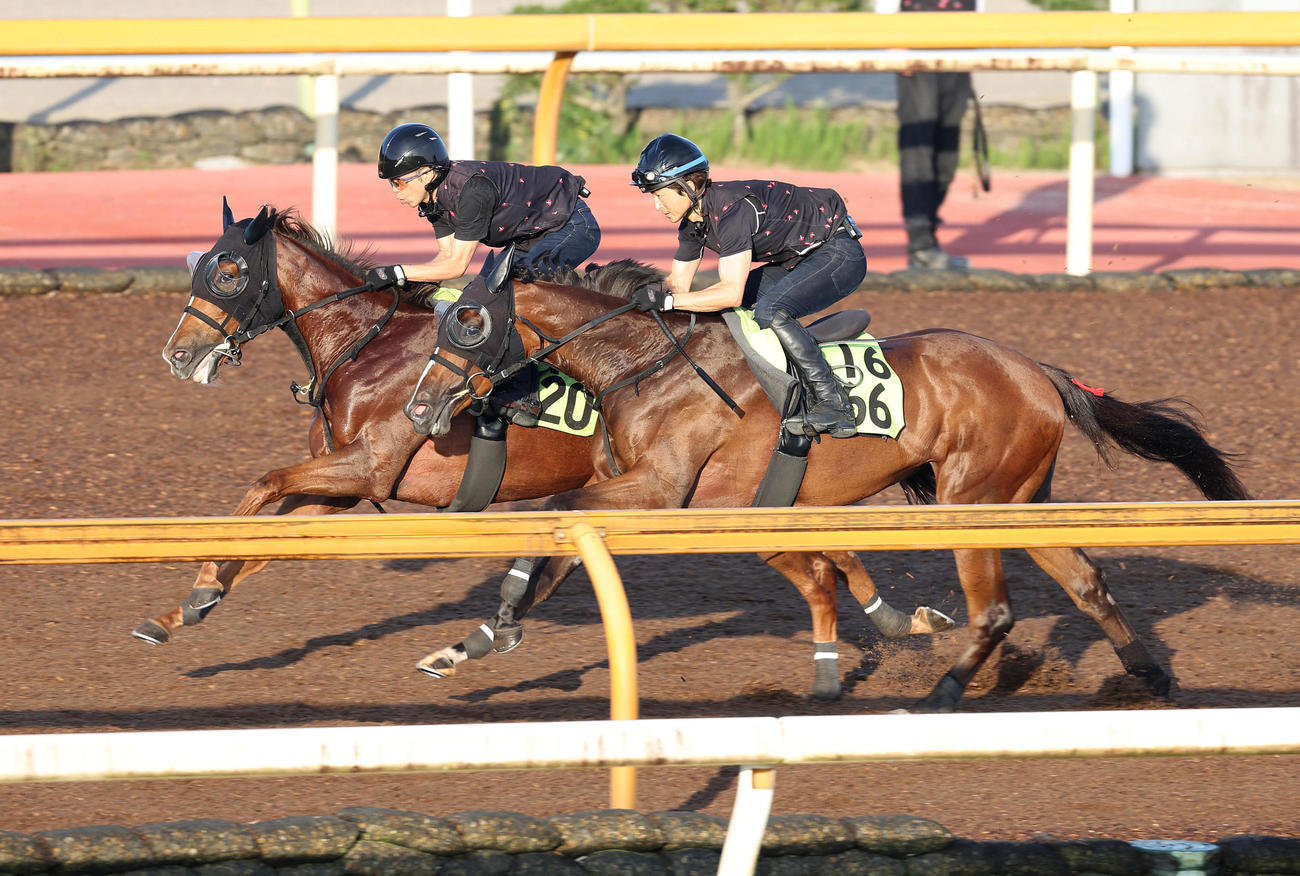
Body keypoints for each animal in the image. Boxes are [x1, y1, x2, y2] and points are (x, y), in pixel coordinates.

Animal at [143, 201, 950, 700]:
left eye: (226, 271)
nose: (176, 356)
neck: (367, 348)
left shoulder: (370, 467)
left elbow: (262, 484)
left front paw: (197, 588)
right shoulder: (348, 487)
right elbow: (270, 533)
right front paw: (186, 607)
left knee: (816, 555)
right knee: (828, 549)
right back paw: (896, 620)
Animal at [404, 259, 1250, 713]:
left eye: (468, 322)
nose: (419, 407)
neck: (648, 364)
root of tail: (1037, 370)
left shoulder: (670, 496)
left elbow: (558, 520)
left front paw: (497, 621)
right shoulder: (696, 503)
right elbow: (559, 551)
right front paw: (474, 641)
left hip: (969, 500)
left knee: (998, 610)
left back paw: (940, 695)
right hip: (1018, 498)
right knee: (1085, 581)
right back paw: (1150, 676)